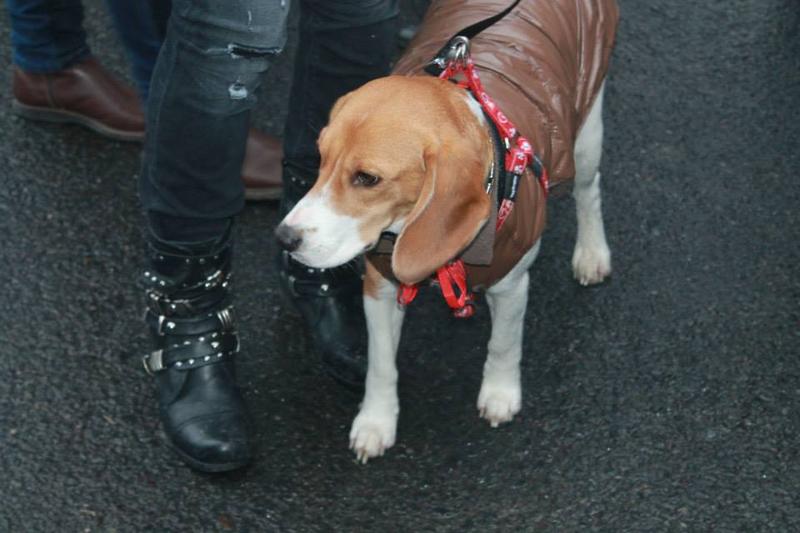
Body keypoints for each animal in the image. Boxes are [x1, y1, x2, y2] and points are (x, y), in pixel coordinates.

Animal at [276, 0, 620, 462]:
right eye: (320, 159)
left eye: (367, 178)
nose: (284, 238)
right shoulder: (379, 287)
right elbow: (381, 365)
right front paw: (376, 422)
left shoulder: (510, 284)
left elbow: (503, 344)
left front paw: (500, 394)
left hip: (585, 131)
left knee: (589, 190)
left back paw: (592, 253)